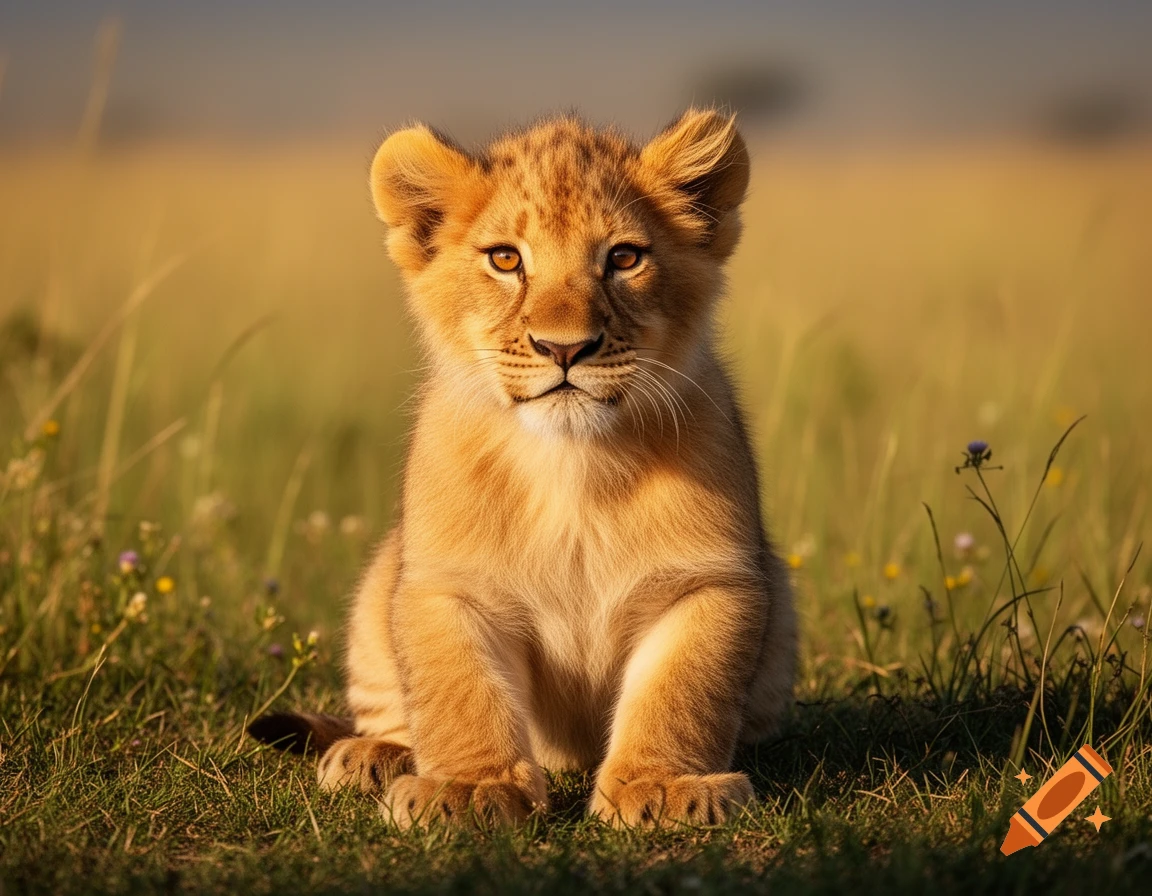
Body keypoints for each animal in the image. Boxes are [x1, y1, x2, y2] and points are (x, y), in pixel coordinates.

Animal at [249, 109, 796, 829]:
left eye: (624, 257)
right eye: (506, 259)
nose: (564, 348)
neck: (571, 462)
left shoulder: (709, 580)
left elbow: (681, 693)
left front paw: (662, 787)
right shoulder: (446, 584)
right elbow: (460, 692)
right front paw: (469, 789)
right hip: (377, 590)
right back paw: (372, 755)